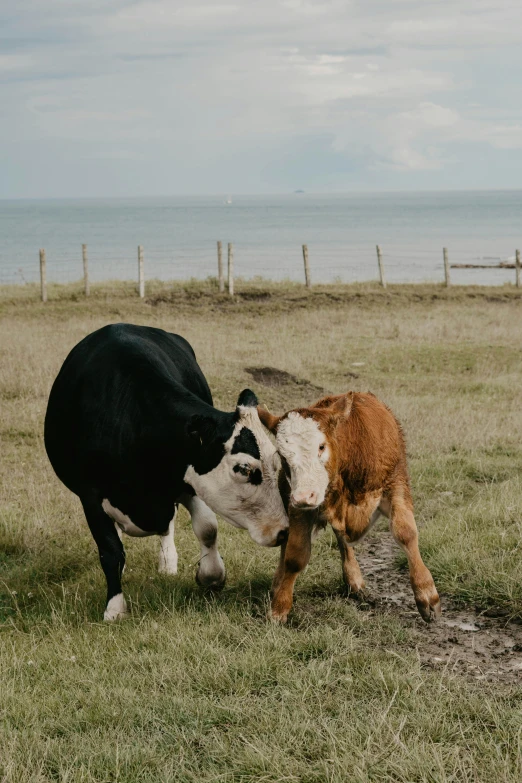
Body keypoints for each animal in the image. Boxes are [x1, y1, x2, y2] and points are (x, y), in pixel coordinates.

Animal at [44, 324, 286, 620]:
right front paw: (114, 607)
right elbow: (110, 550)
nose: (283, 531)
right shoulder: (90, 494)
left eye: (276, 463)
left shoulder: (186, 481)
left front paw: (210, 575)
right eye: (243, 468)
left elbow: (207, 528)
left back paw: (168, 561)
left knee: (168, 524)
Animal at [256, 392, 438, 624]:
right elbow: (295, 556)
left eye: (321, 446)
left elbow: (406, 533)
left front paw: (427, 595)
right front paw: (279, 608)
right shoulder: (298, 505)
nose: (304, 496)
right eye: (282, 454)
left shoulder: (397, 485)